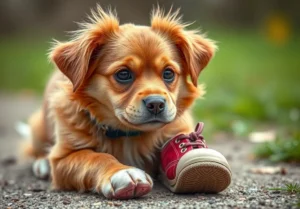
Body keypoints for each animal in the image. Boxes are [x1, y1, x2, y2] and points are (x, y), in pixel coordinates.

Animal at [25, 6, 216, 199]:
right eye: (123, 74)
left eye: (168, 73)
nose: (156, 103)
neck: (128, 135)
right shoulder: (63, 158)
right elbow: (95, 157)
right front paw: (121, 172)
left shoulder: (180, 129)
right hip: (38, 127)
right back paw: (42, 164)